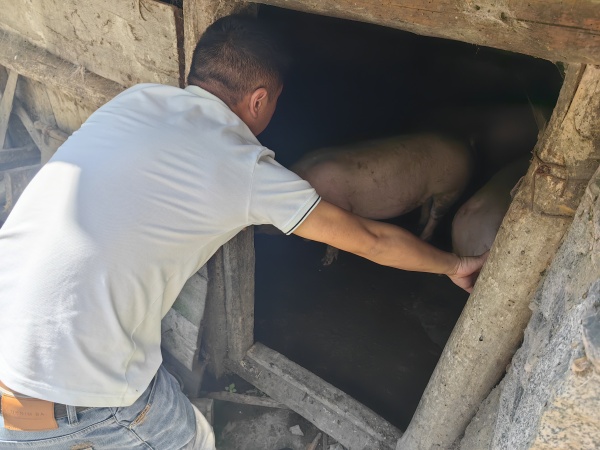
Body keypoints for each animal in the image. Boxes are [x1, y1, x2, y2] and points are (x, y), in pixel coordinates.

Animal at [291, 133, 473, 264]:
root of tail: (463, 142)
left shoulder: (340, 207)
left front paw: (325, 262)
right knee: (427, 204)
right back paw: (418, 226)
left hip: (450, 189)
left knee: (437, 215)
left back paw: (422, 237)